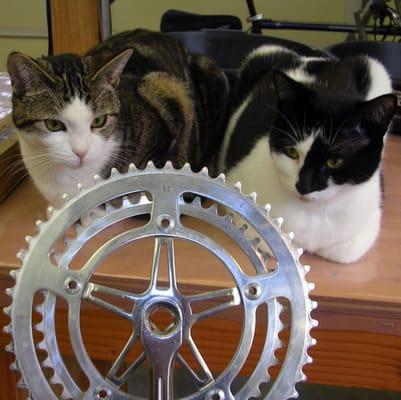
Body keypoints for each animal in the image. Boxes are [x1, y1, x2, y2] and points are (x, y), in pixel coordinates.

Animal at [219, 44, 396, 262]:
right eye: (292, 152)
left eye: (334, 161)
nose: (304, 185)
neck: (313, 213)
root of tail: (317, 56)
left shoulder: (365, 225)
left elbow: (344, 250)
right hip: (261, 53)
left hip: (377, 69)